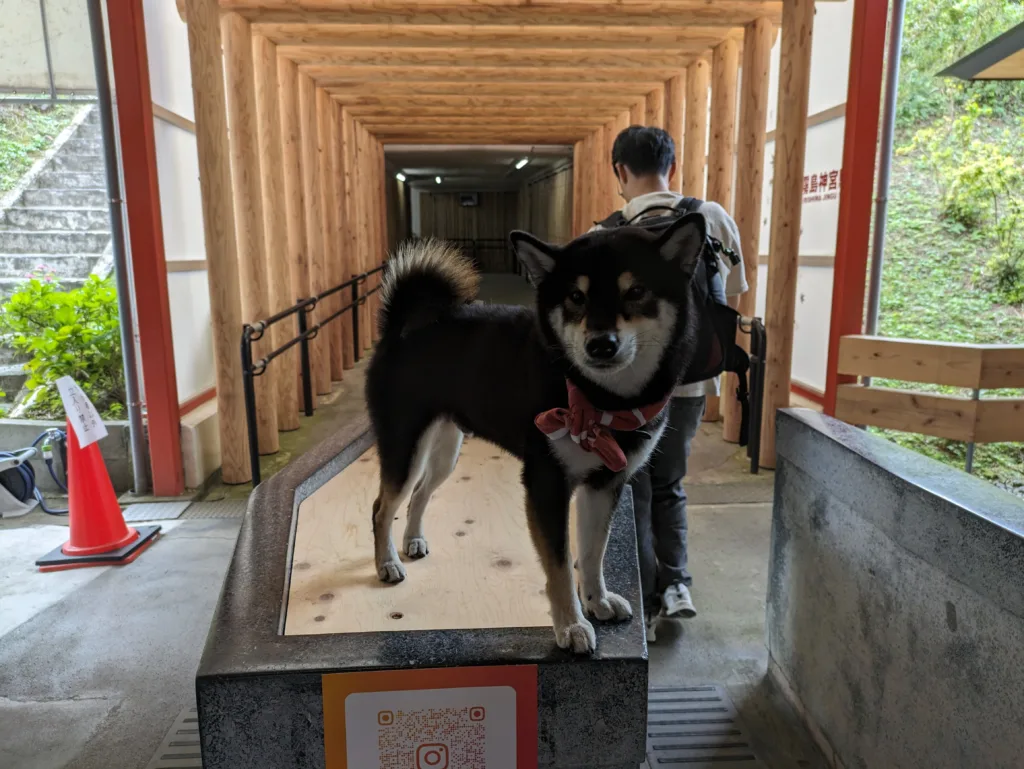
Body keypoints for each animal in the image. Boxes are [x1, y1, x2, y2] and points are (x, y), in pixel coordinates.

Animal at [368, 214, 712, 651]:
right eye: (576, 297)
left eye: (636, 291)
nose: (601, 344)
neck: (604, 400)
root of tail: (401, 327)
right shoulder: (547, 484)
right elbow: (561, 566)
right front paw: (571, 625)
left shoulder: (605, 483)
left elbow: (593, 552)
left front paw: (597, 601)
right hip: (405, 447)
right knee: (382, 507)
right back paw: (387, 562)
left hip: (445, 450)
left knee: (419, 493)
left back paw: (412, 541)